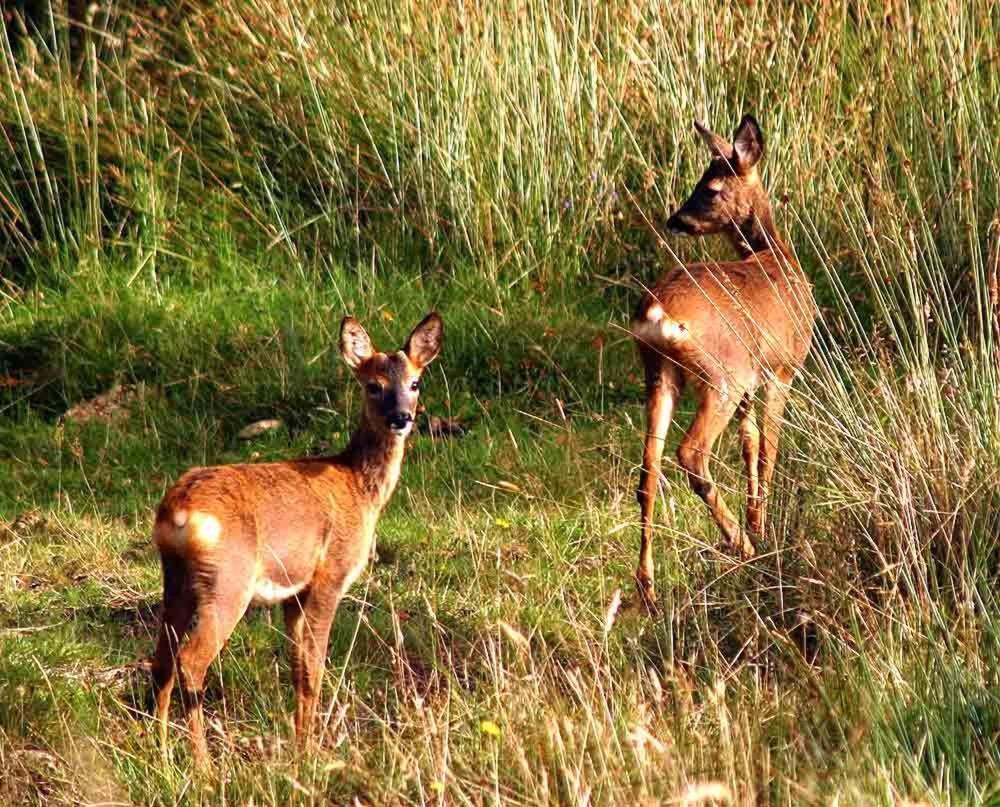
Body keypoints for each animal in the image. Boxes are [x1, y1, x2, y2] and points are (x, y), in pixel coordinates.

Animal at [150, 310, 444, 764]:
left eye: (415, 383)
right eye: (373, 385)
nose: (401, 417)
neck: (359, 487)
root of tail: (178, 509)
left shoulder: (293, 593)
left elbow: (297, 666)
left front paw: (300, 741)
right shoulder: (330, 575)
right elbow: (314, 667)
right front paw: (309, 751)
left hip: (176, 579)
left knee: (161, 659)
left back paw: (161, 752)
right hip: (228, 581)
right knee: (191, 660)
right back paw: (203, 764)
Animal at [632, 112, 812, 608]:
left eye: (709, 187)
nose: (676, 219)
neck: (774, 255)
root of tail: (658, 312)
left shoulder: (754, 378)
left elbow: (749, 441)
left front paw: (757, 520)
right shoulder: (781, 369)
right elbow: (769, 446)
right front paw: (760, 528)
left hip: (659, 373)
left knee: (648, 468)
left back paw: (648, 588)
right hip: (720, 375)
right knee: (690, 453)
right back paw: (739, 543)